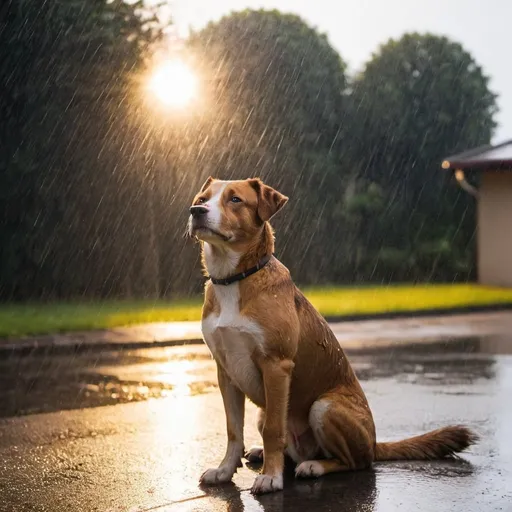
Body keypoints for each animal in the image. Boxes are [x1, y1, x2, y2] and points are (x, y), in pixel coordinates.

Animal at [190, 177, 478, 496]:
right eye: (202, 198)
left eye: (235, 200)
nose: (196, 211)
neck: (234, 279)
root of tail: (374, 443)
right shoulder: (226, 371)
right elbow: (233, 430)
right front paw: (225, 470)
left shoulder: (276, 366)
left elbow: (274, 431)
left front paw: (271, 477)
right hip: (266, 409)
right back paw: (261, 453)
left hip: (323, 407)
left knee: (355, 462)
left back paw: (313, 466)